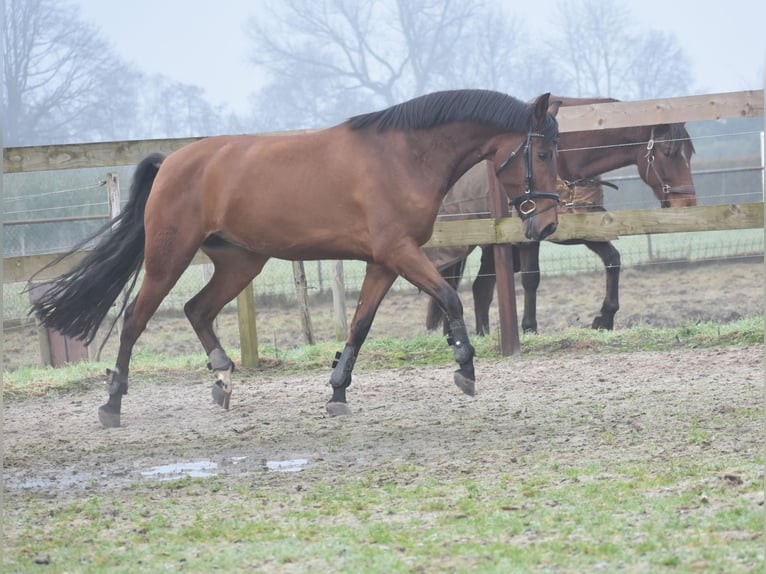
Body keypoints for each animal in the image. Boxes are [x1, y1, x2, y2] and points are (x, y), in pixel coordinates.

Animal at [30, 90, 560, 430]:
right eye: (543, 152)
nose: (550, 223)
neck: (404, 155)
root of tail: (173, 162)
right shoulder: (400, 252)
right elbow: (449, 296)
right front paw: (464, 367)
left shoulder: (384, 261)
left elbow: (360, 326)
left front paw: (338, 391)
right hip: (169, 257)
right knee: (136, 321)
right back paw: (112, 404)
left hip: (242, 262)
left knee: (197, 309)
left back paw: (222, 376)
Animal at [426, 95, 696, 338]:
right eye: (668, 151)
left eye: (690, 153)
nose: (688, 203)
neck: (567, 158)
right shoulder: (529, 236)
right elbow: (531, 277)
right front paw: (530, 327)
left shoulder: (584, 228)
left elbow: (613, 260)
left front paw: (604, 318)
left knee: (480, 287)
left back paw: (481, 335)